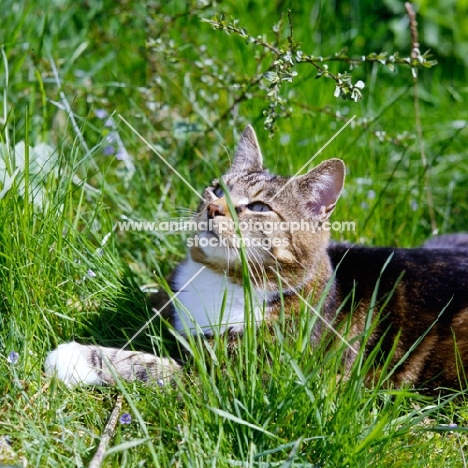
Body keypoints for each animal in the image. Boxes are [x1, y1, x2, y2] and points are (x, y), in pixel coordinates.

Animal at [45, 124, 468, 392]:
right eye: (216, 188)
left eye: (260, 207)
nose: (213, 208)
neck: (221, 278)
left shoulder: (245, 383)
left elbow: (157, 368)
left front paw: (77, 357)